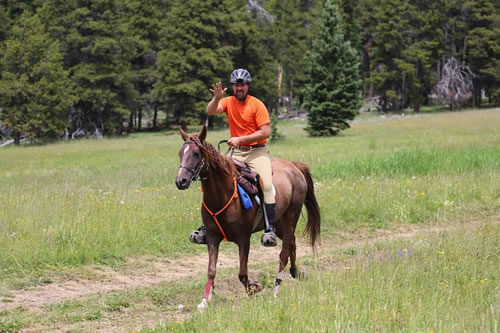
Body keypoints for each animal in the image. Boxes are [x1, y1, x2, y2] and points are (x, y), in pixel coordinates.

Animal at [174, 126, 318, 310]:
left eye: (196, 153)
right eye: (180, 153)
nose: (181, 181)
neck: (222, 194)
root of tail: (294, 166)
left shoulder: (244, 239)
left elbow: (242, 273)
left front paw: (254, 287)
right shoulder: (213, 237)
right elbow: (211, 270)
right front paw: (204, 302)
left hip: (291, 217)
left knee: (284, 253)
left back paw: (276, 290)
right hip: (279, 223)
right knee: (292, 242)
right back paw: (295, 272)